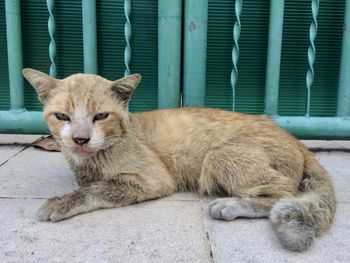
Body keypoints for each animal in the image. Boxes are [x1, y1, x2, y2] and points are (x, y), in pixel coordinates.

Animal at [22, 68, 336, 252]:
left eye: (100, 116)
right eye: (62, 116)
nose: (80, 139)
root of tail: (297, 141)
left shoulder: (152, 180)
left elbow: (96, 189)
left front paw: (62, 201)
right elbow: (89, 184)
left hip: (219, 155)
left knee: (283, 192)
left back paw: (231, 205)